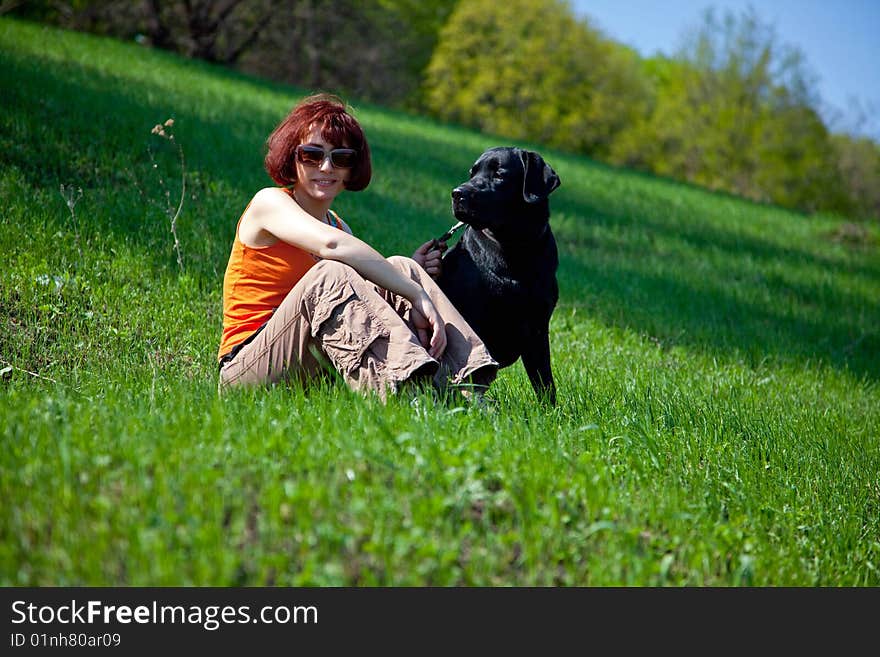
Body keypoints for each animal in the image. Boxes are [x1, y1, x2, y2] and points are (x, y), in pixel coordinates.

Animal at [436, 148, 560, 402]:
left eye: (499, 174)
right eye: (472, 173)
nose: (457, 193)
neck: (515, 249)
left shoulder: (538, 329)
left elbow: (545, 382)